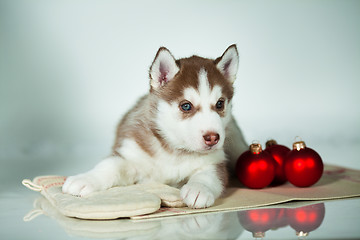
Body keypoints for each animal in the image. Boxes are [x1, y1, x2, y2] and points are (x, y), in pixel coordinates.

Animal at [62, 44, 248, 208]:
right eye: (186, 106)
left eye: (219, 104)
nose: (213, 138)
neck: (174, 152)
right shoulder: (132, 155)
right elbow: (110, 166)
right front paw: (85, 179)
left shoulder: (215, 161)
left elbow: (209, 175)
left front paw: (199, 189)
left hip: (236, 143)